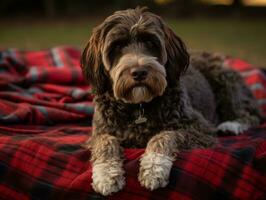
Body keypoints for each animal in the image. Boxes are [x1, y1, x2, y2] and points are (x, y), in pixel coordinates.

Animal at [80, 7, 260, 195]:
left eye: (151, 42)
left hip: (224, 80)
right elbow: (105, 142)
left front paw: (153, 167)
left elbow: (166, 135)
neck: (138, 107)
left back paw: (232, 125)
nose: (139, 72)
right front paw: (106, 174)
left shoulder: (200, 128)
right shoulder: (99, 132)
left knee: (250, 114)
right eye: (117, 45)